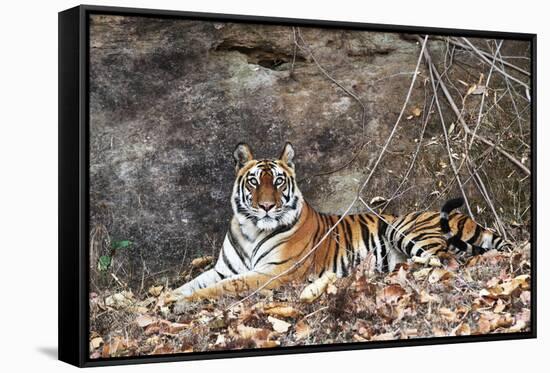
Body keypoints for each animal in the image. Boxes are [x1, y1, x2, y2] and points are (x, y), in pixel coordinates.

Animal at [174, 141, 512, 300]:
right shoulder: (222, 269)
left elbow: (223, 288)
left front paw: (185, 303)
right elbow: (193, 283)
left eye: (279, 181)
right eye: (255, 181)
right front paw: (168, 297)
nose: (267, 207)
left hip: (406, 230)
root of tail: (465, 218)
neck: (251, 230)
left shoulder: (274, 273)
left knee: (447, 262)